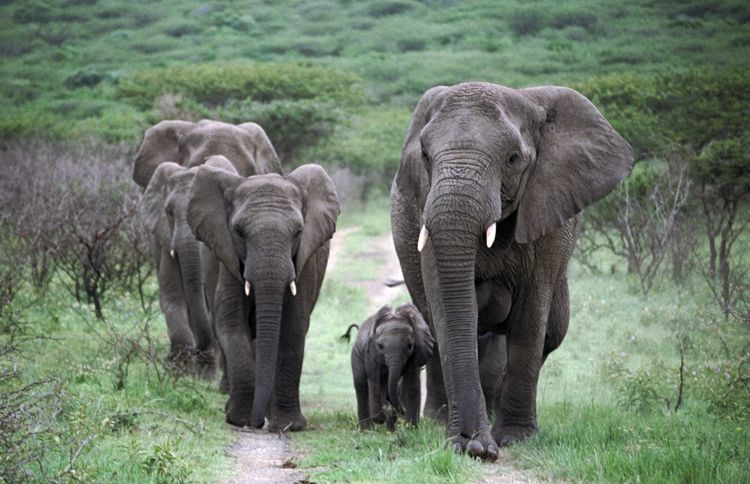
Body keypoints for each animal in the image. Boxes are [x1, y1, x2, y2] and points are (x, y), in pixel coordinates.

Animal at [188, 164, 340, 432]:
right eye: (238, 232)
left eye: (298, 232)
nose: (257, 423)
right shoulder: (228, 260)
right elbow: (231, 325)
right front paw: (238, 419)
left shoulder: (304, 263)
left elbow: (292, 329)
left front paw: (289, 425)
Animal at [352, 302, 438, 432]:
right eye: (380, 346)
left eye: (410, 346)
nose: (401, 410)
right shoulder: (371, 353)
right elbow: (374, 382)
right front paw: (382, 417)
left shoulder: (413, 355)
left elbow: (412, 384)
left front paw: (411, 429)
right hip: (356, 355)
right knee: (361, 385)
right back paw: (368, 429)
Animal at [390, 82, 636, 458]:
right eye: (426, 157)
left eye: (513, 159)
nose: (474, 444)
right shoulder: (425, 218)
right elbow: (448, 310)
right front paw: (468, 442)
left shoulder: (549, 211)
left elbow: (530, 317)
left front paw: (513, 438)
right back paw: (437, 420)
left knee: (553, 329)